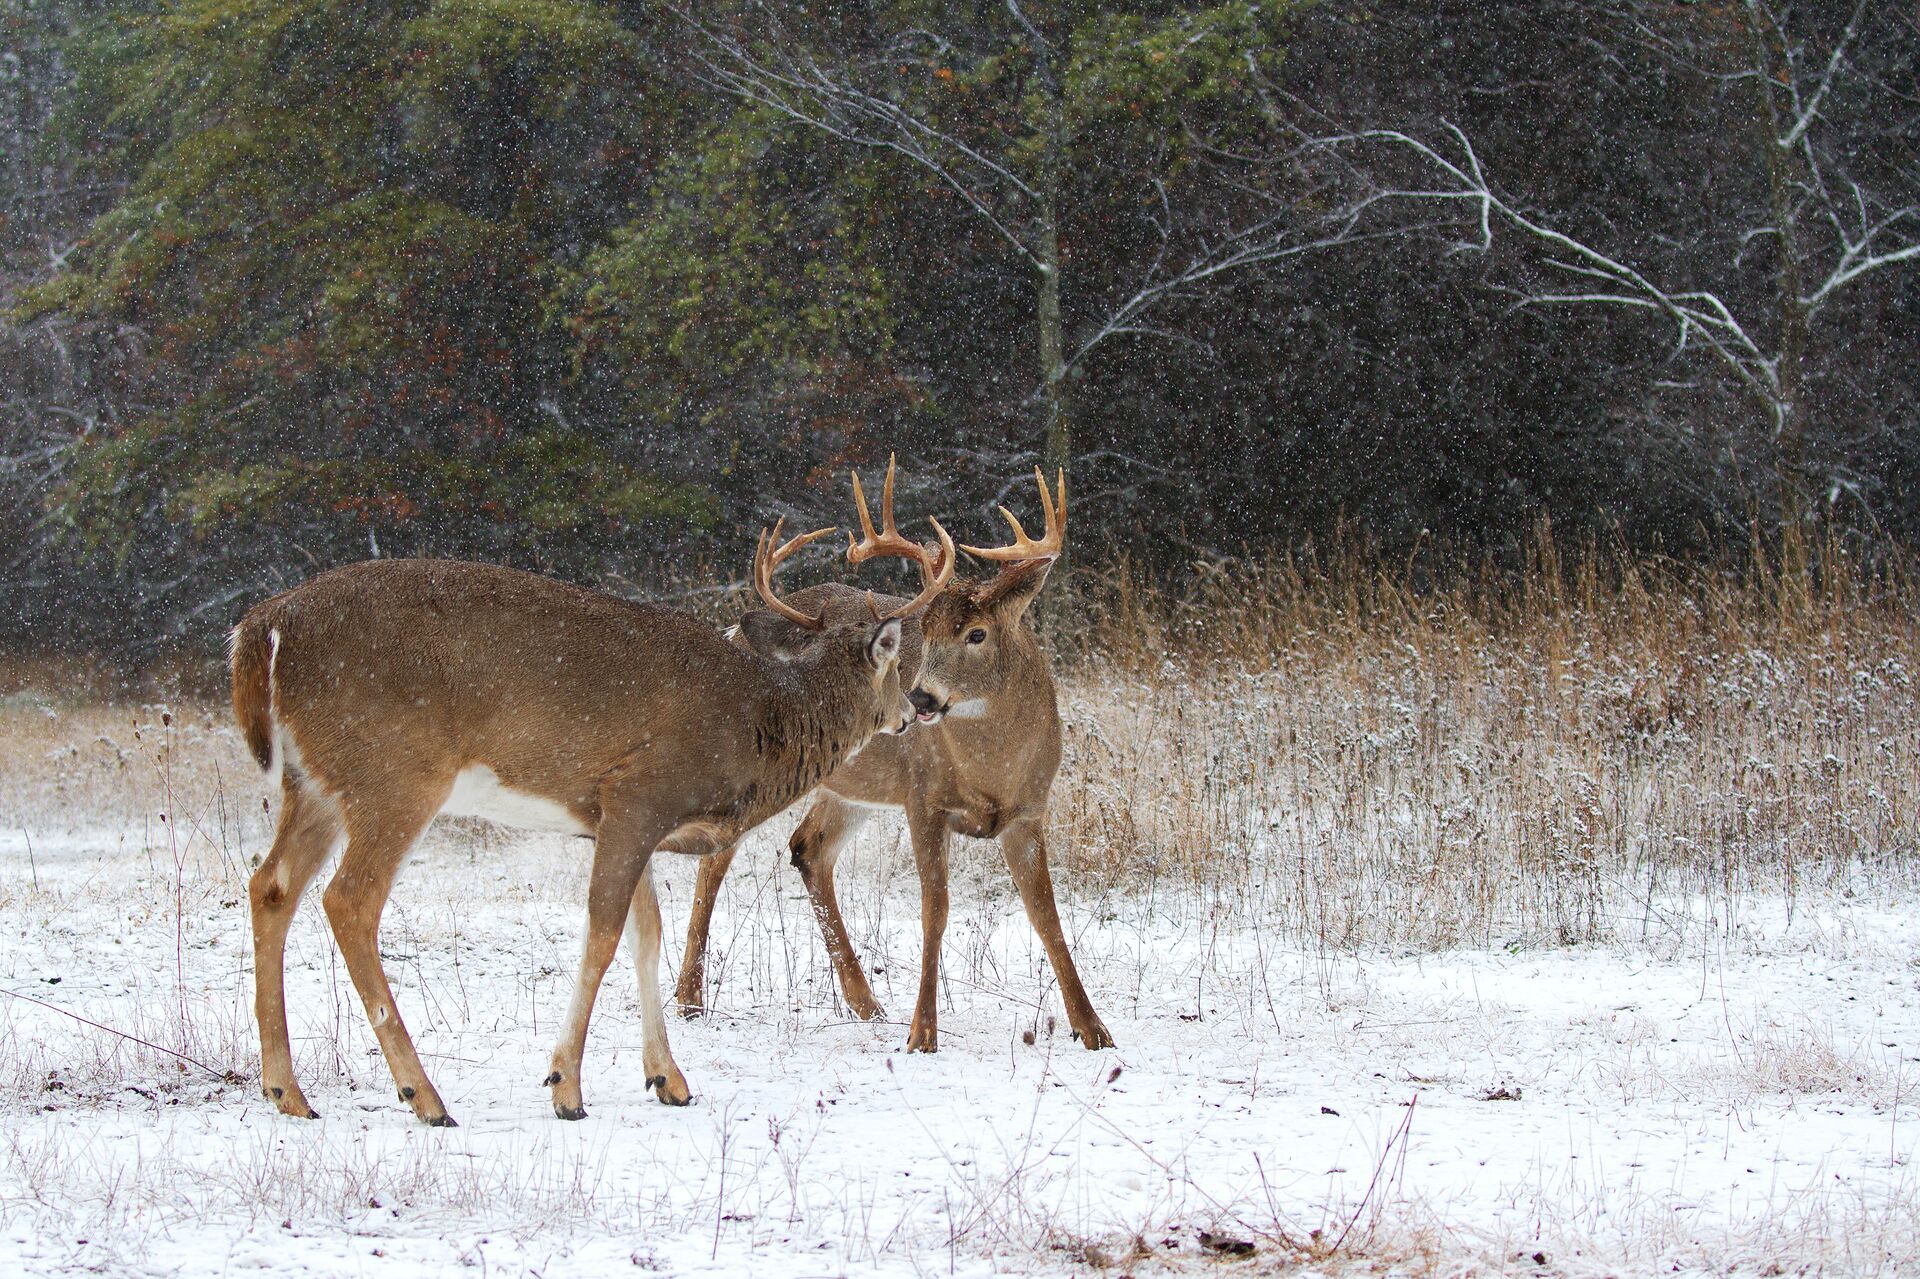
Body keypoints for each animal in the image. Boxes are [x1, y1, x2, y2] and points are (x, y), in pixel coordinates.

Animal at [230, 514, 952, 1121]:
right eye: (898, 661)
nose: (916, 707)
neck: (756, 719)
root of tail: (261, 625)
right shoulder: (638, 793)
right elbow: (603, 934)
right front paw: (566, 1086)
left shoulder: (621, 820)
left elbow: (646, 933)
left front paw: (668, 1079)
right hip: (395, 774)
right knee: (348, 899)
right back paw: (424, 1096)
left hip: (313, 781)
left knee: (271, 885)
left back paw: (287, 1091)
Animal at [672, 462, 1113, 1052]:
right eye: (924, 633)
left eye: (977, 633)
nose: (920, 698)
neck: (993, 772)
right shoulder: (922, 797)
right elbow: (936, 911)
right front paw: (922, 1033)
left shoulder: (1028, 812)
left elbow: (1047, 915)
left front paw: (1093, 1028)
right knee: (715, 858)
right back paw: (689, 1000)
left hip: (850, 789)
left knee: (807, 848)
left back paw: (865, 1003)